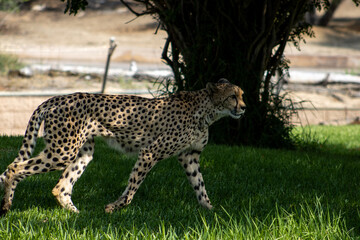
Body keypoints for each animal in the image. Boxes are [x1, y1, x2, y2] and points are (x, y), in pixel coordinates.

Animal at [0, 79, 245, 216]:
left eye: (241, 95)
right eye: (232, 96)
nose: (244, 107)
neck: (207, 111)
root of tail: (57, 98)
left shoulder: (190, 156)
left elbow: (200, 186)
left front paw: (211, 212)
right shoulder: (150, 152)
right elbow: (133, 187)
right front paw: (114, 208)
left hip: (82, 153)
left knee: (60, 187)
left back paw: (77, 215)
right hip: (62, 151)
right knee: (14, 168)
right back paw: (7, 206)